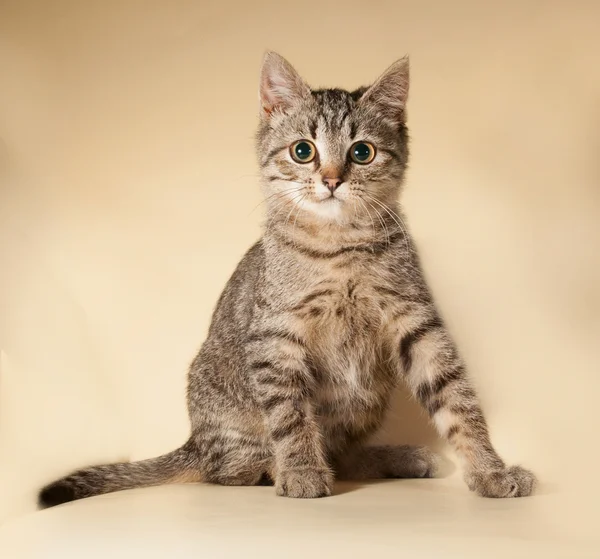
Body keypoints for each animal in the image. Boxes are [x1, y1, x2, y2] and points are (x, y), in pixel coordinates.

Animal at [38, 53, 536, 508]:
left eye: (362, 152)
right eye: (303, 150)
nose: (332, 179)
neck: (340, 246)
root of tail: (194, 441)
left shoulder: (416, 321)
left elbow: (457, 399)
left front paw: (491, 471)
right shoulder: (276, 336)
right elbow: (290, 414)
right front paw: (298, 470)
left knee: (341, 453)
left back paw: (396, 458)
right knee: (229, 470)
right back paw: (277, 467)